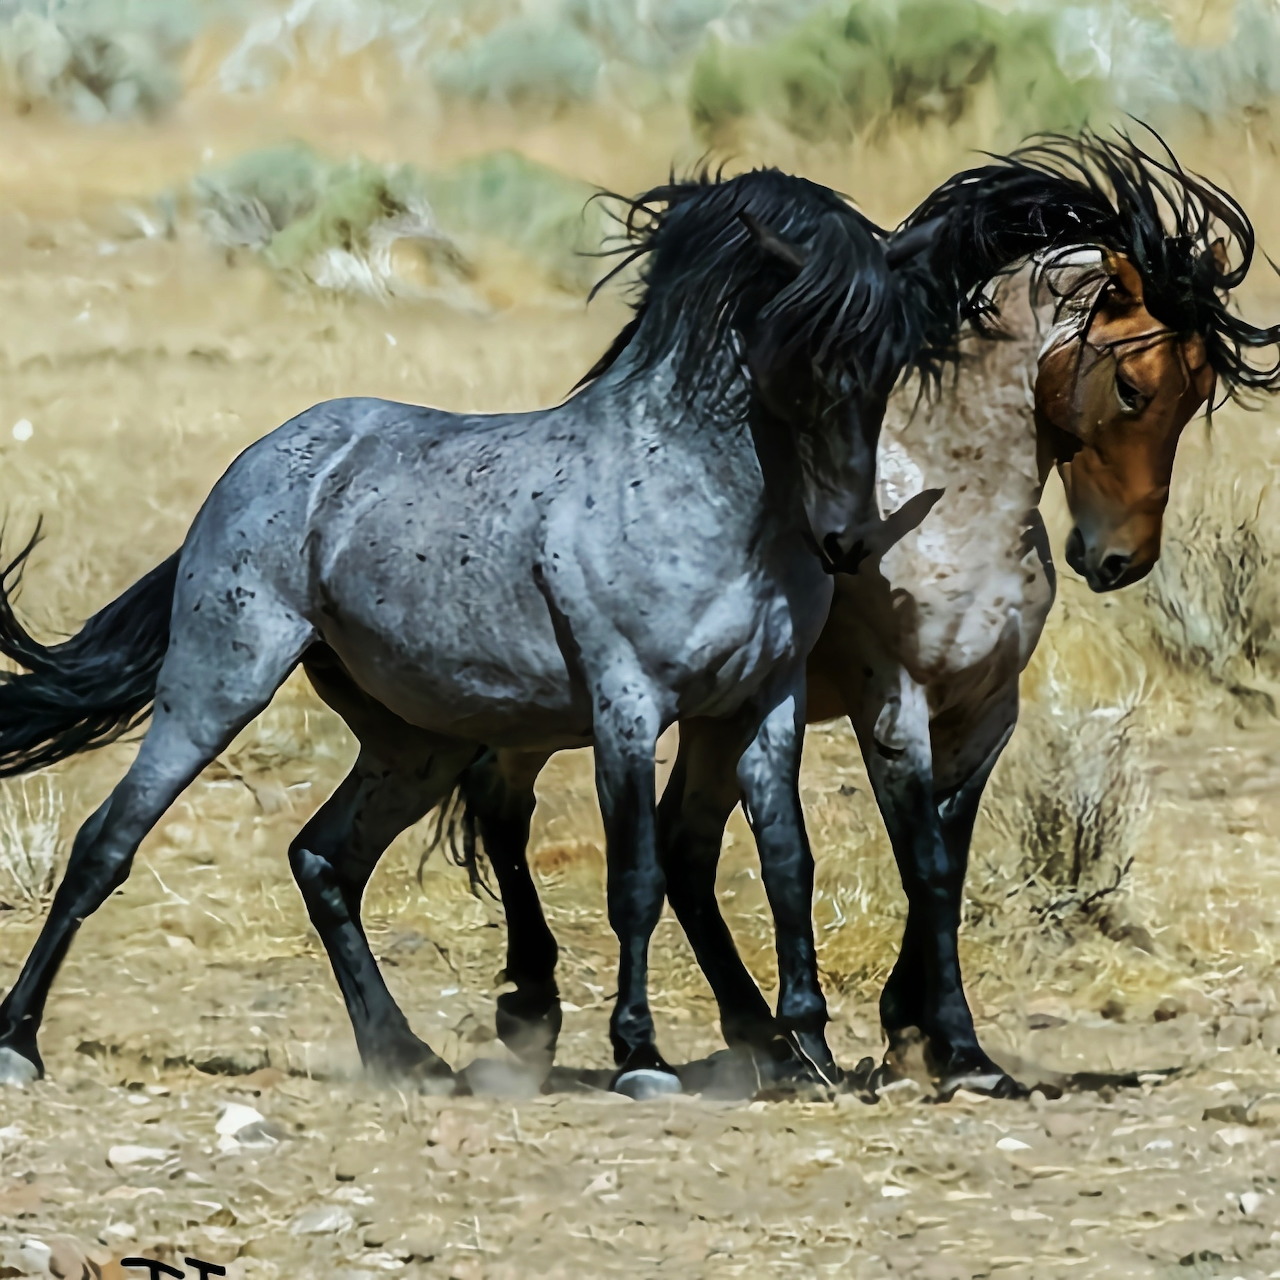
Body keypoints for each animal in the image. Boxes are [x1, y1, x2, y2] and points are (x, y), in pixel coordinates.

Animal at [0, 165, 1044, 1097]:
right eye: (807, 360)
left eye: (891, 368)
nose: (847, 542)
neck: (698, 495)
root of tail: (259, 462)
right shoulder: (629, 706)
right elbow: (638, 877)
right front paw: (642, 1058)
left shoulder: (764, 703)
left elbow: (787, 863)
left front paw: (809, 1055)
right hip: (220, 682)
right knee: (107, 842)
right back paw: (19, 1044)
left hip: (415, 745)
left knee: (323, 860)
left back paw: (407, 1057)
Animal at [436, 134, 1280, 1096]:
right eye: (1134, 388)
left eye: (1200, 391)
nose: (1118, 560)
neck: (947, 506)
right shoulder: (894, 706)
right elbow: (929, 864)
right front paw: (958, 1048)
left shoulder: (985, 713)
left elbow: (946, 857)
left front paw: (912, 1030)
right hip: (569, 714)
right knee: (508, 808)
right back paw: (534, 1007)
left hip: (717, 722)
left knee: (682, 849)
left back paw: (760, 1034)